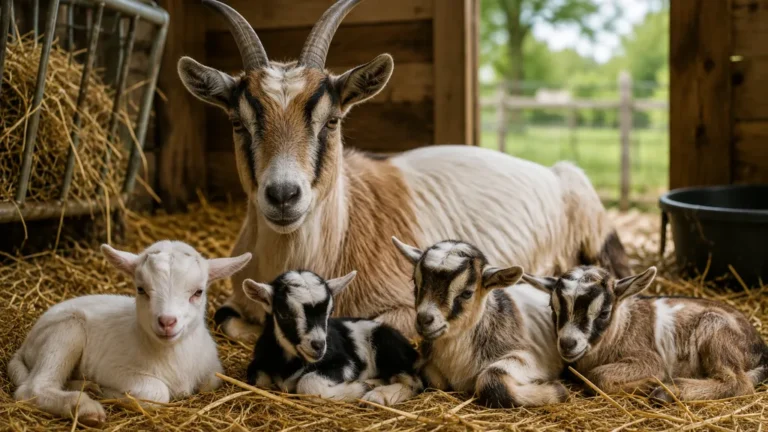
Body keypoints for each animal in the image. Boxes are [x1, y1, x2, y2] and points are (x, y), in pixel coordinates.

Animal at [7, 241, 251, 426]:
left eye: (198, 292)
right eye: (141, 289)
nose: (167, 321)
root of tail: (25, 345)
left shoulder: (213, 370)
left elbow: (210, 382)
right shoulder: (110, 368)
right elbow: (157, 392)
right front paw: (113, 394)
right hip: (66, 331)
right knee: (32, 388)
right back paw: (86, 407)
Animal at [242, 270, 422, 405]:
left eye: (331, 311)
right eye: (284, 314)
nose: (319, 345)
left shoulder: (345, 363)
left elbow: (307, 383)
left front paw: (361, 388)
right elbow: (259, 380)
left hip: (387, 346)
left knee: (415, 382)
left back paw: (378, 395)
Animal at [392, 238, 567, 408]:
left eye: (467, 293)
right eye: (415, 284)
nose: (424, 319)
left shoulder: (530, 357)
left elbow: (490, 380)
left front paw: (558, 390)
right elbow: (433, 379)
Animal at [523, 266, 768, 402]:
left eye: (604, 312)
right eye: (553, 308)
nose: (568, 343)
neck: (621, 329)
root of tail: (761, 348)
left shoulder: (649, 359)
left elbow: (598, 376)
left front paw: (651, 383)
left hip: (716, 330)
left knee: (738, 382)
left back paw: (666, 392)